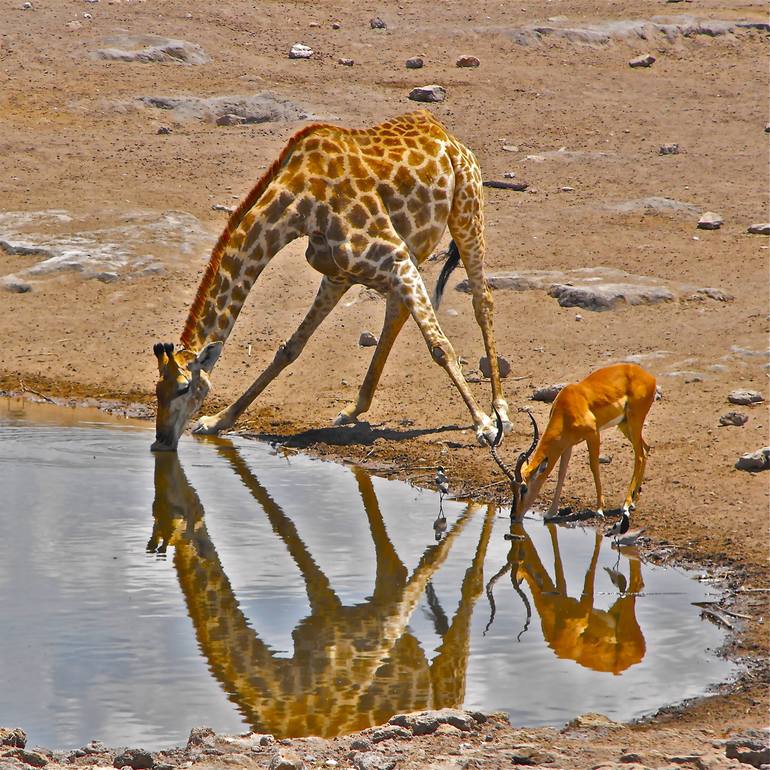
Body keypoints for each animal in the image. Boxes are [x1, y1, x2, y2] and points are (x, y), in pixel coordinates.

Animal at [148, 438, 498, 732]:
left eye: (167, 506)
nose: (162, 444)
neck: (287, 686)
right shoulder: (324, 611)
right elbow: (285, 527)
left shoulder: (376, 621)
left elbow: (423, 567)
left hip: (449, 672)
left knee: (468, 589)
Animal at [150, 111, 510, 452]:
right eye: (157, 390)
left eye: (183, 388)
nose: (160, 441)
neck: (300, 203)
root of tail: (442, 131)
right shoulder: (339, 275)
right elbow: (290, 349)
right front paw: (217, 421)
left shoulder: (395, 257)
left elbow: (440, 347)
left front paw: (484, 425)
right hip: (415, 249)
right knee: (396, 314)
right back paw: (353, 409)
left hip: (466, 212)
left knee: (482, 301)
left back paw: (500, 409)